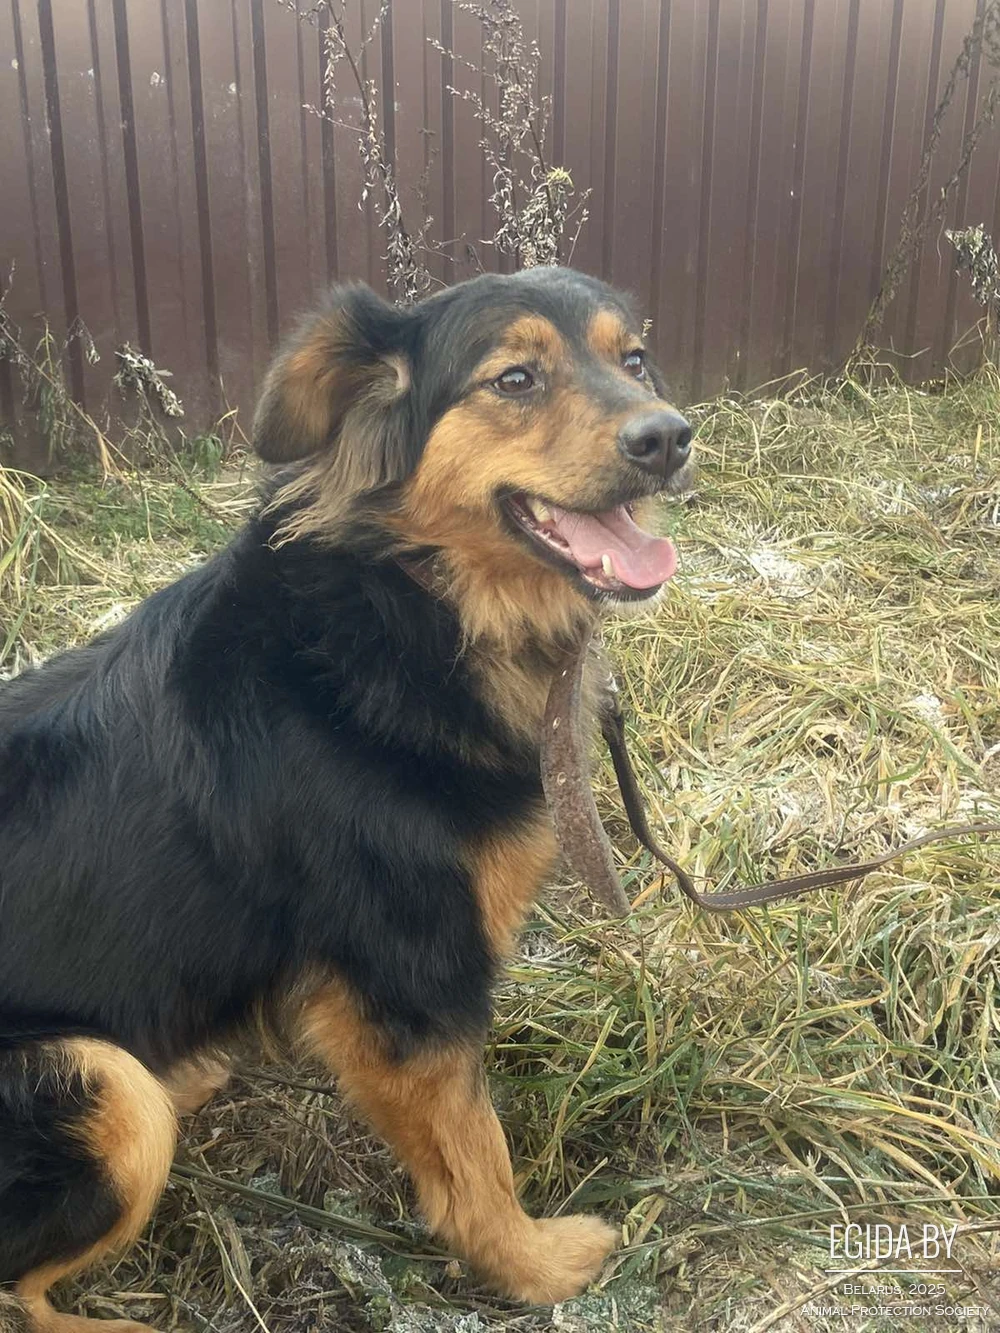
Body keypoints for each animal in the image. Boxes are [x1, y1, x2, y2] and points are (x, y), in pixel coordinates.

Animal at [0, 266, 692, 1329]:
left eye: (637, 359)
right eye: (516, 378)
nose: (669, 438)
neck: (410, 602)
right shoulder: (407, 980)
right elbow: (475, 1152)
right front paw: (531, 1265)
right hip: (103, 1093)